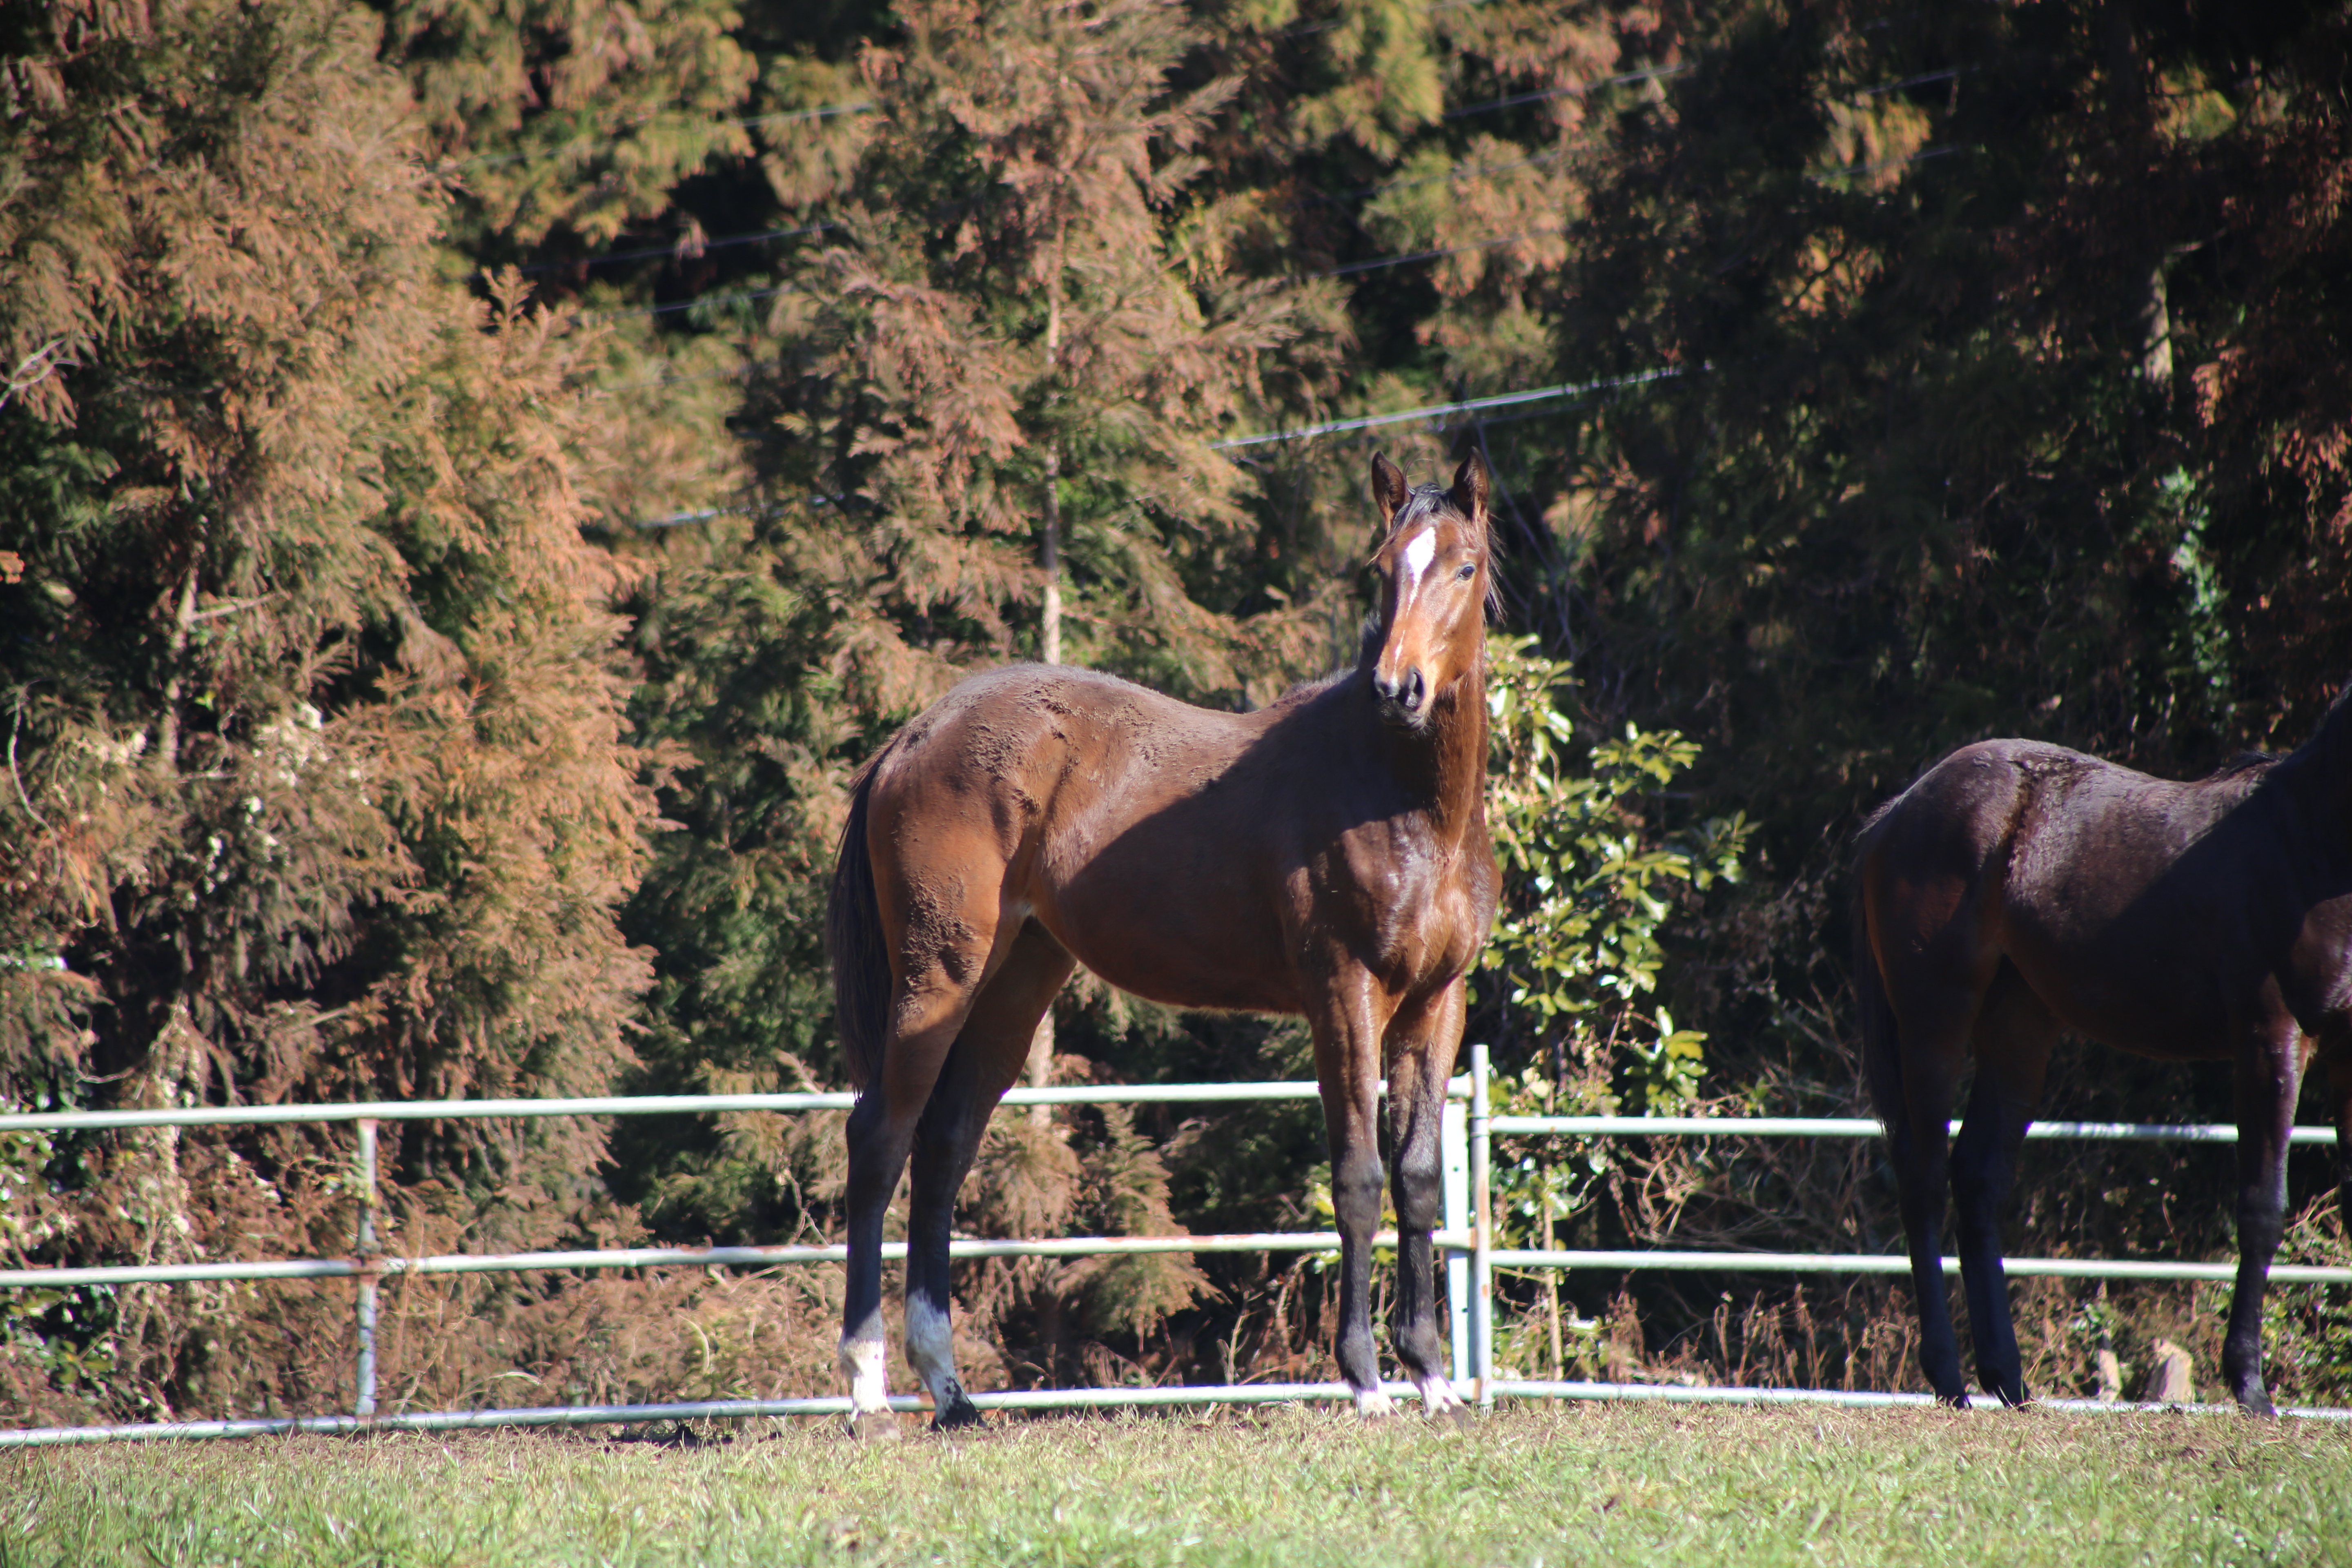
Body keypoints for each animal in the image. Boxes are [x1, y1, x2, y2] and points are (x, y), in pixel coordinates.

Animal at [818, 451, 1496, 1439]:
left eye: (1463, 567)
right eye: (1384, 566)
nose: (1398, 688)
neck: (1399, 798)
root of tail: (912, 737)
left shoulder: (1436, 1003)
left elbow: (1414, 1181)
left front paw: (1433, 1377)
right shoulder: (1344, 995)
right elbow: (1360, 1177)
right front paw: (1367, 1381)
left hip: (1017, 980)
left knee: (943, 1149)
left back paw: (950, 1390)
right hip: (937, 976)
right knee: (881, 1141)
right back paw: (869, 1390)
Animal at [1844, 696, 2352, 1410]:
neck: (2309, 840)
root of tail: (1899, 810)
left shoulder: (2347, 1054)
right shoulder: (2270, 1039)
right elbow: (2261, 1206)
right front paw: (2249, 1386)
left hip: (2019, 1029)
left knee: (1977, 1177)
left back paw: (2008, 1380)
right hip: (1933, 1025)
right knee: (1923, 1180)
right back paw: (1949, 1379)